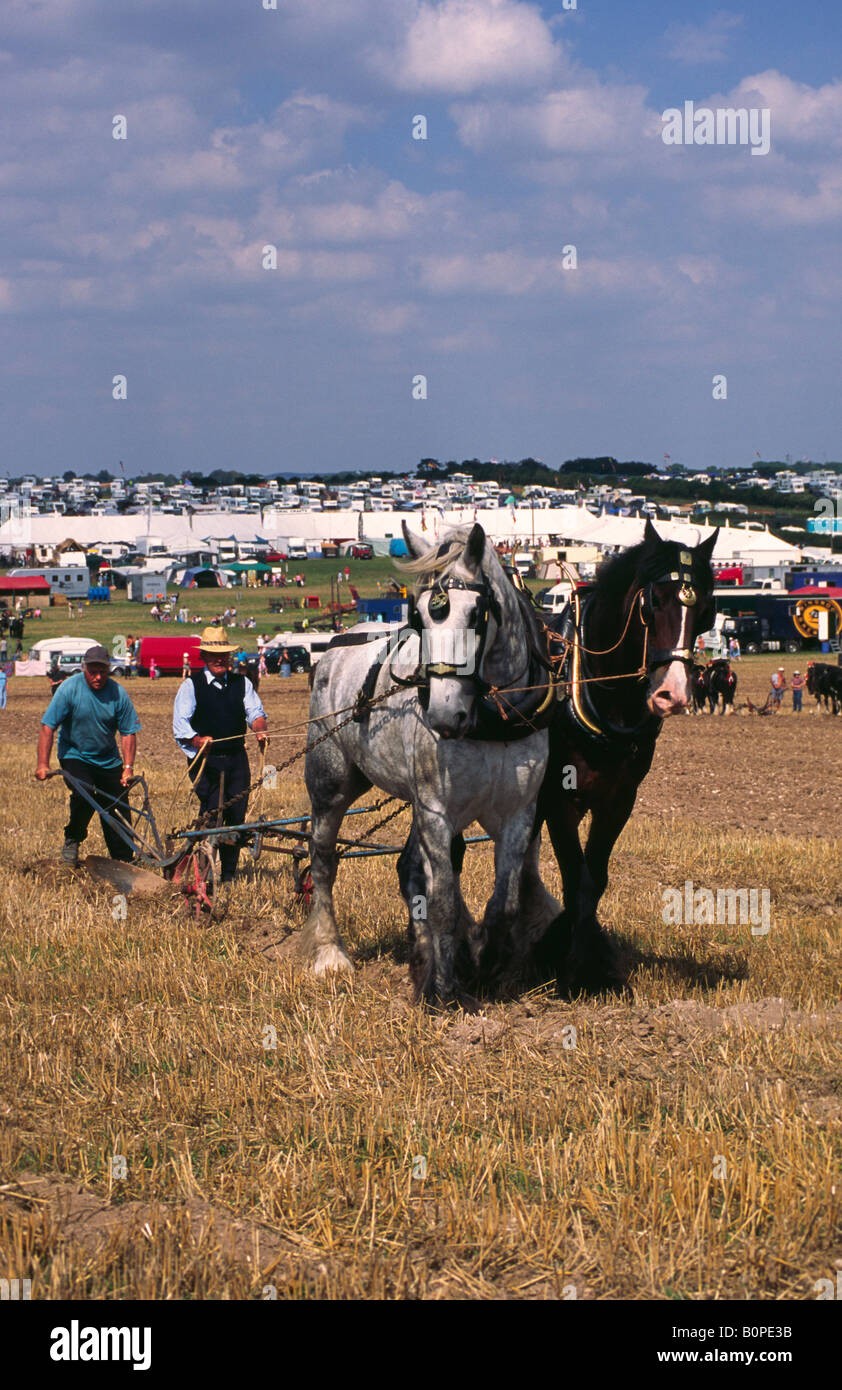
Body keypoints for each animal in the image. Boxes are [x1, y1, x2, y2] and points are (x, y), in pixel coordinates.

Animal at [293, 523, 559, 1004]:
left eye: (477, 613)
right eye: (418, 618)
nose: (444, 715)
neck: (490, 718)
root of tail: (336, 645)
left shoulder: (517, 813)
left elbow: (504, 901)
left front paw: (485, 961)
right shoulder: (436, 810)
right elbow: (443, 902)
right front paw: (442, 988)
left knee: (411, 869)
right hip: (330, 783)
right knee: (322, 860)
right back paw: (330, 953)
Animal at [535, 520, 718, 993]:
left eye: (706, 609)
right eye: (653, 603)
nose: (673, 694)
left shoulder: (619, 800)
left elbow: (595, 878)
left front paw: (585, 958)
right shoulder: (559, 798)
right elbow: (575, 875)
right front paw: (577, 971)